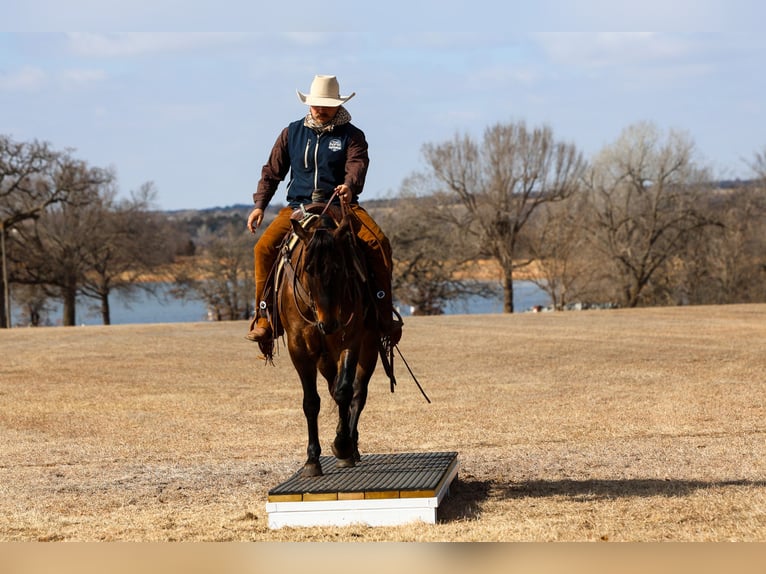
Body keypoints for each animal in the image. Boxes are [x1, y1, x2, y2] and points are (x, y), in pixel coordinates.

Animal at [276, 206, 380, 477]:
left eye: (339, 268)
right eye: (307, 269)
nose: (329, 323)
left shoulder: (350, 339)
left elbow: (345, 392)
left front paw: (342, 446)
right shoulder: (299, 348)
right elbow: (311, 402)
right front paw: (312, 460)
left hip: (369, 348)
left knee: (357, 392)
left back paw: (351, 447)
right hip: (324, 357)